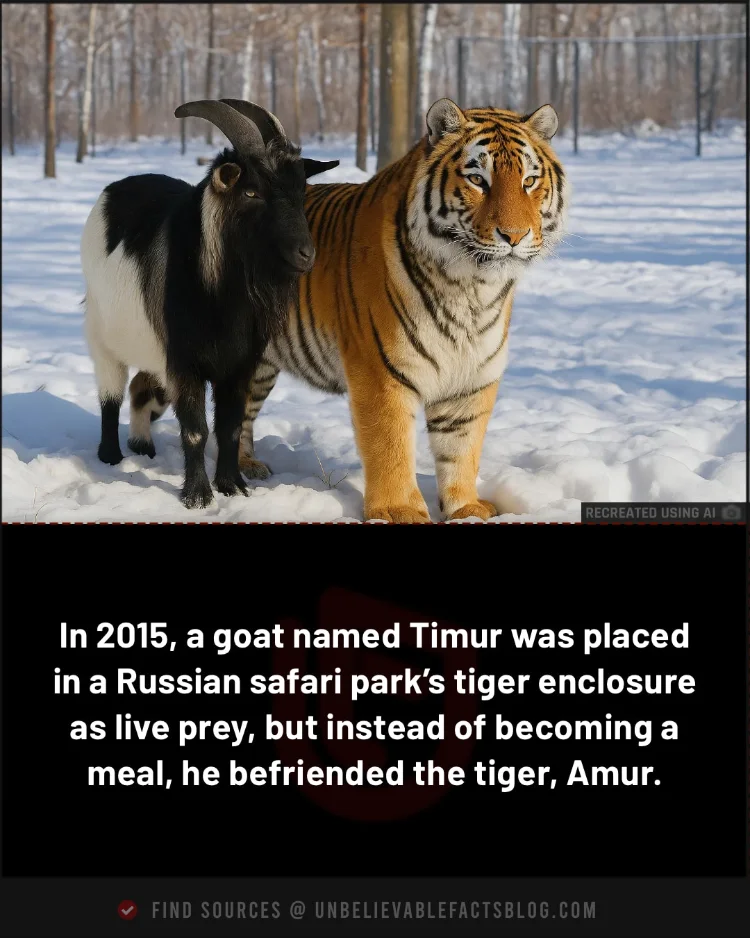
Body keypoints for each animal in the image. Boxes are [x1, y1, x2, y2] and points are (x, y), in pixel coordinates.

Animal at [80, 98, 338, 508]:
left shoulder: (240, 365)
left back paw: (142, 446)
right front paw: (198, 496)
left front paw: (233, 487)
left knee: (139, 389)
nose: (305, 254)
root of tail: (114, 190)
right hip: (103, 338)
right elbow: (196, 430)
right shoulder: (185, 363)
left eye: (301, 191)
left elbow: (230, 428)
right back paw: (111, 457)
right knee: (110, 395)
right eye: (251, 192)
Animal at [129, 98, 568, 522]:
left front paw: (466, 508)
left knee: (239, 413)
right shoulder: (382, 372)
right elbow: (389, 446)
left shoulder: (472, 379)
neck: (471, 290)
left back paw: (247, 466)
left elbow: (461, 451)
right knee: (142, 387)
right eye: (478, 180)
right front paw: (399, 511)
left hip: (258, 364)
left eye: (529, 181)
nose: (514, 236)